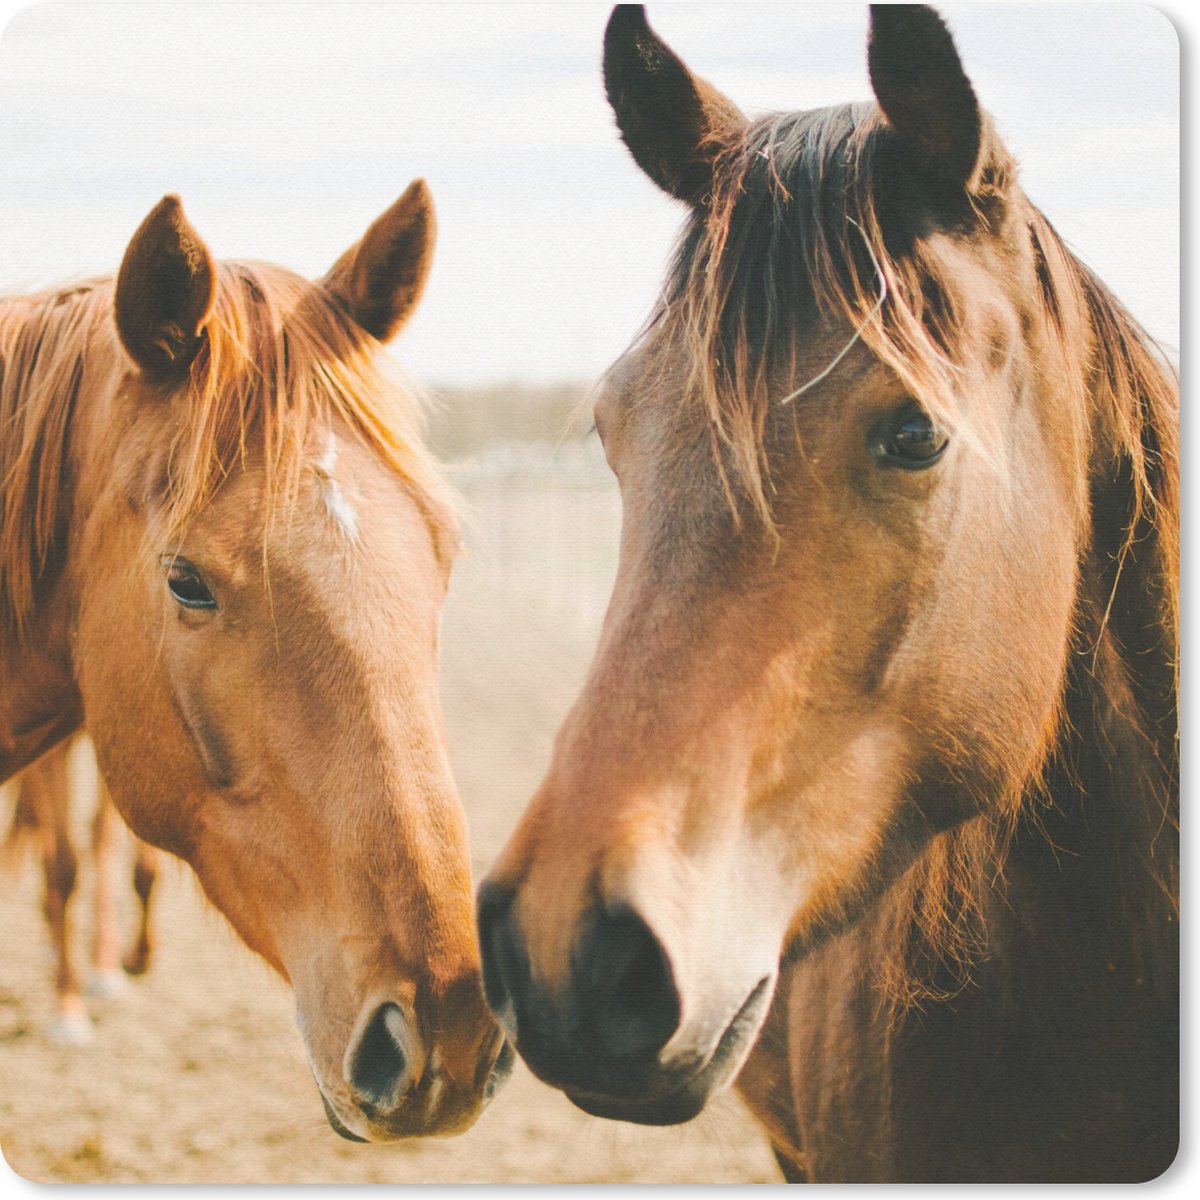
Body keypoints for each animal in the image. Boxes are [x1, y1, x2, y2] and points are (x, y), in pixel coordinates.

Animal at [2, 734, 161, 1044]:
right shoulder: (47, 755)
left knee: (99, 837)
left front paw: (137, 958)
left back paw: (104, 965)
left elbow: (145, 867)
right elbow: (63, 870)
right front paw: (67, 1010)